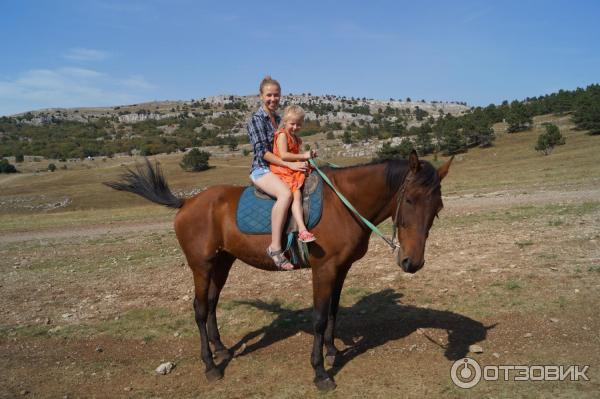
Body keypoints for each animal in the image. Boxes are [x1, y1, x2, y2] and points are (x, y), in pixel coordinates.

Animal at [108, 150, 452, 390]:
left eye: (437, 208)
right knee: (200, 309)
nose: (412, 262)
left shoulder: (341, 269)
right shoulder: (323, 269)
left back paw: (221, 349)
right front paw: (320, 372)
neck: (343, 205)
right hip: (201, 266)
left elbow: (334, 311)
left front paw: (332, 350)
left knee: (213, 303)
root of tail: (187, 203)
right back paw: (210, 365)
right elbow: (318, 317)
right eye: (410, 199)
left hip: (223, 262)